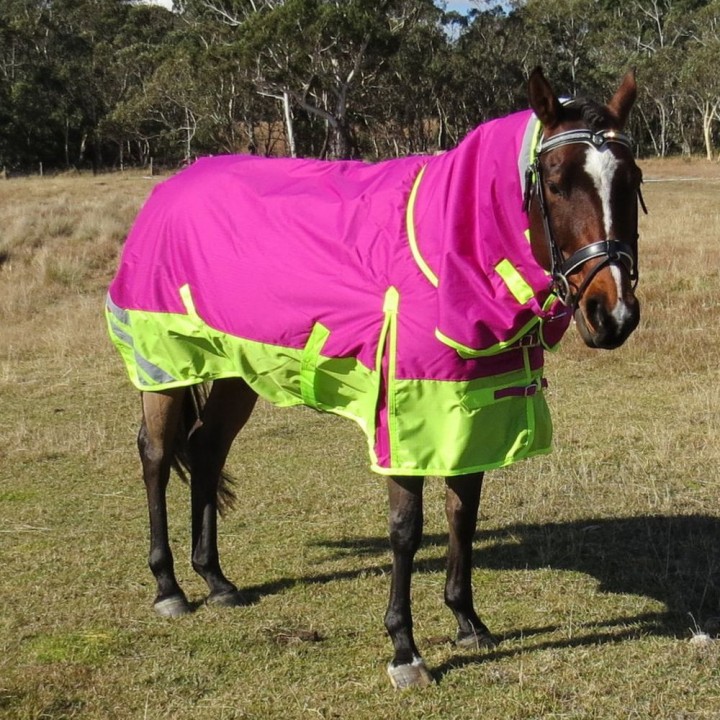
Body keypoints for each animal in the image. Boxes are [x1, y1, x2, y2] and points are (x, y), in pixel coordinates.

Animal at [105, 67, 644, 689]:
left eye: (632, 180)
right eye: (555, 184)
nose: (613, 315)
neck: (445, 248)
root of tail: (170, 188)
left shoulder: (474, 409)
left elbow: (463, 513)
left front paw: (468, 621)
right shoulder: (407, 418)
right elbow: (406, 528)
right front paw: (405, 649)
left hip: (238, 371)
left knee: (207, 449)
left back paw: (215, 579)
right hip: (165, 365)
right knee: (156, 455)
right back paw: (168, 586)